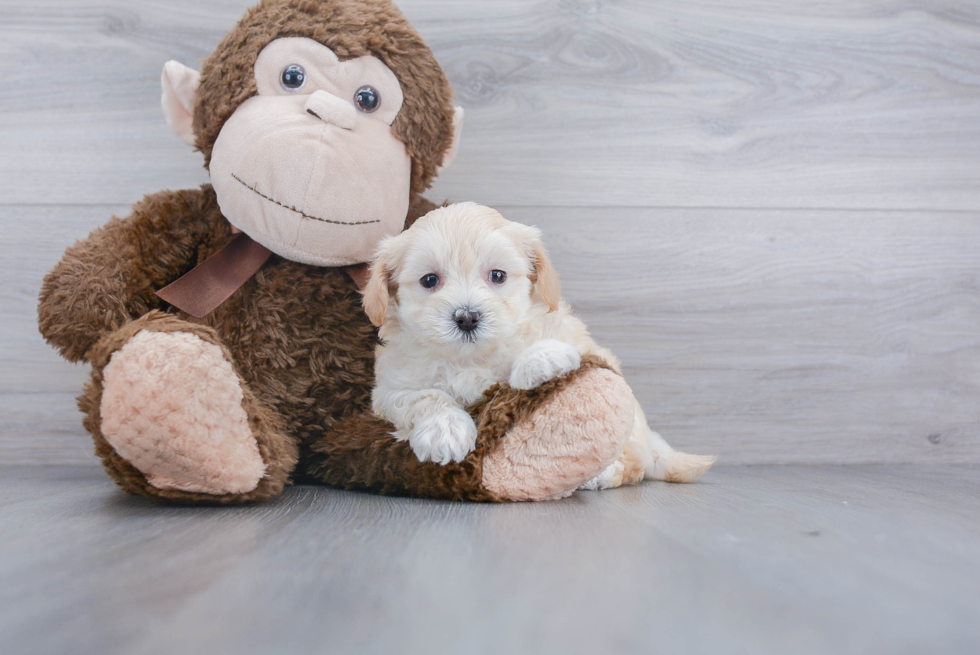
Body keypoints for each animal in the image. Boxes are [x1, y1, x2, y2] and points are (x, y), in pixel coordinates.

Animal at [364, 202, 716, 490]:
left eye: (497, 275)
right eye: (429, 280)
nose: (467, 317)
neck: (471, 359)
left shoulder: (562, 332)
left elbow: (541, 346)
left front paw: (542, 359)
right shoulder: (391, 389)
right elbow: (425, 396)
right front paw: (445, 431)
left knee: (633, 465)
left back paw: (601, 475)